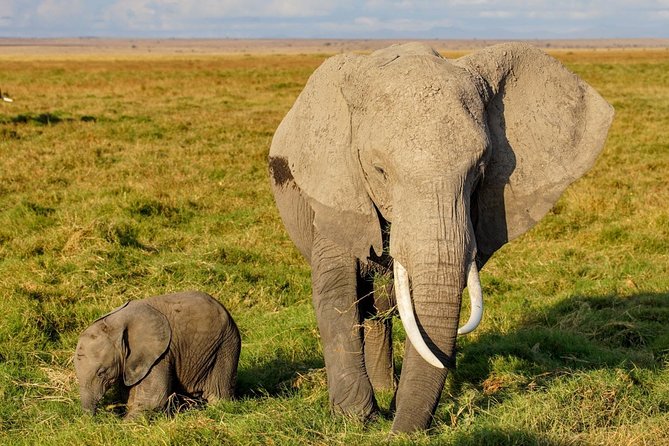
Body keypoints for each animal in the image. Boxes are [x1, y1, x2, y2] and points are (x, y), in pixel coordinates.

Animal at [74, 291, 241, 417]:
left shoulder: (159, 354)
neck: (113, 325)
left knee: (218, 394)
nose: (96, 419)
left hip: (225, 346)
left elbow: (153, 399)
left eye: (102, 373)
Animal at [268, 42, 613, 432]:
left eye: (480, 170)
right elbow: (337, 293)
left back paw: (388, 388)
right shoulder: (336, 191)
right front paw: (357, 420)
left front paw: (383, 409)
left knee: (382, 307)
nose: (398, 433)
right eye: (379, 170)